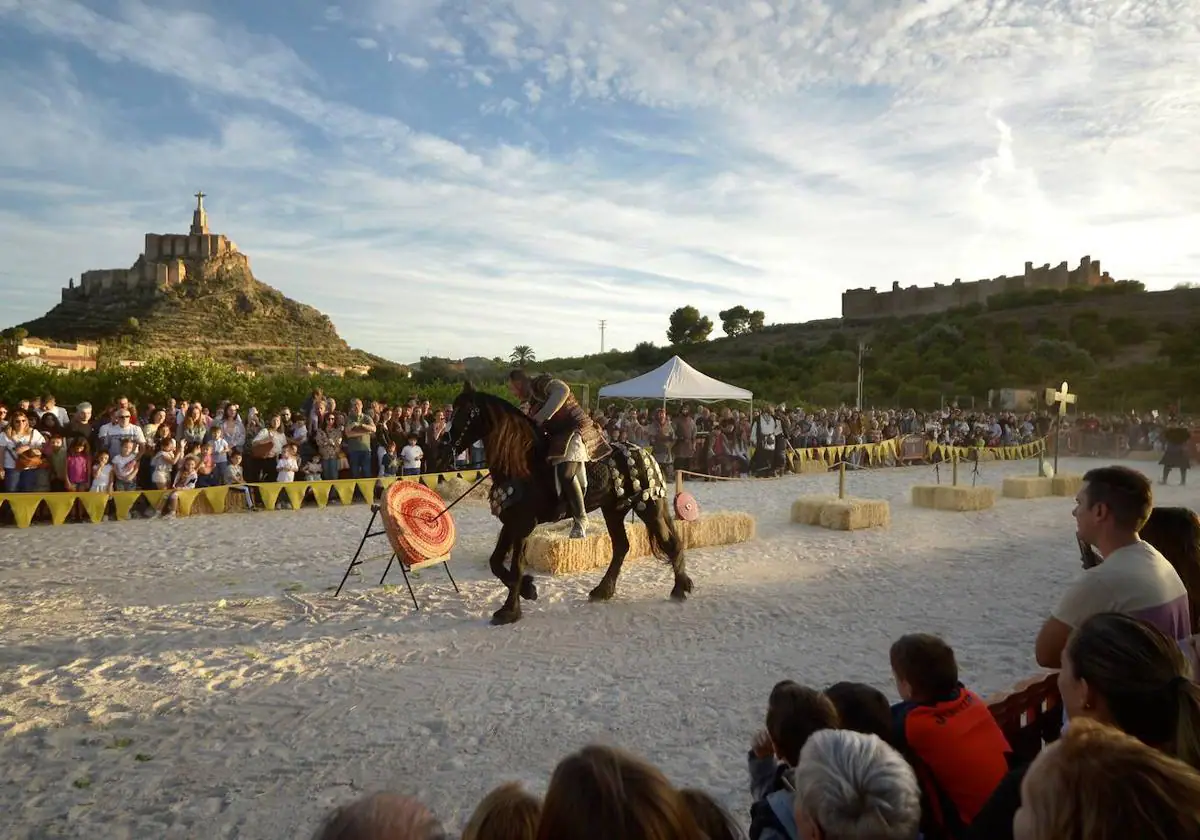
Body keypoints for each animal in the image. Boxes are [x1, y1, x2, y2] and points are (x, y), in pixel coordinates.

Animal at [448, 381, 696, 624]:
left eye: (465, 412)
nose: (445, 443)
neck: (523, 464)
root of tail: (645, 452)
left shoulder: (523, 524)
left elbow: (516, 566)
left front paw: (510, 611)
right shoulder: (510, 522)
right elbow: (496, 563)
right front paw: (528, 590)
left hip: (649, 505)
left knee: (669, 543)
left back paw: (679, 589)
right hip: (614, 510)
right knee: (621, 547)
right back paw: (603, 590)